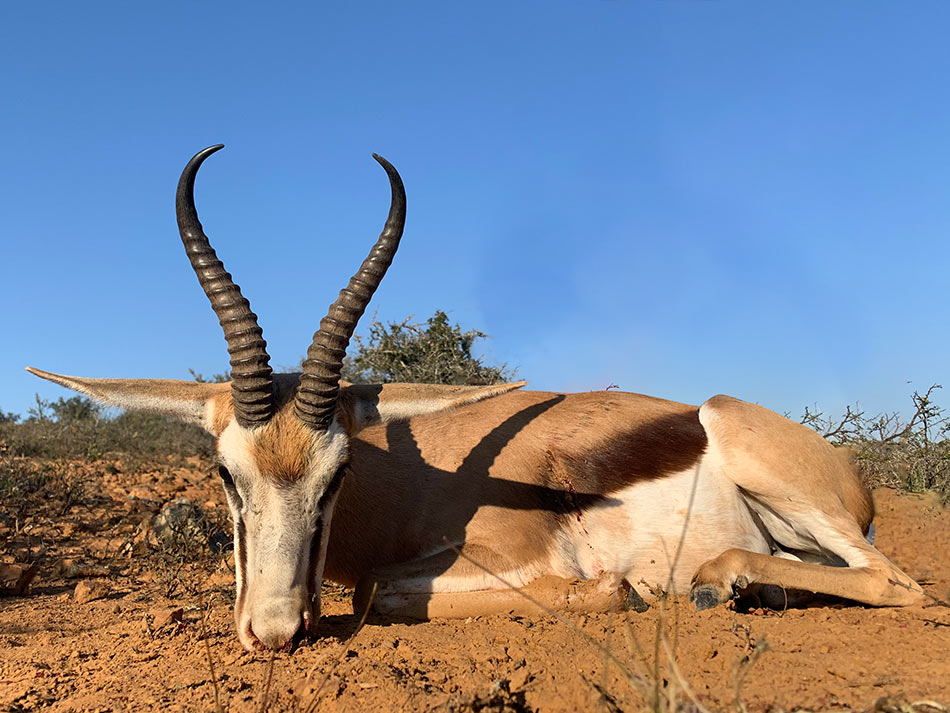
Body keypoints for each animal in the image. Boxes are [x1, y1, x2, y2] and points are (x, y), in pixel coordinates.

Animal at [29, 145, 924, 652]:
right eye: (224, 473)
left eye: (338, 474)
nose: (276, 631)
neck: (414, 481)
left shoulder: (516, 555)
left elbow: (377, 590)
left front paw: (618, 590)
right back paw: (740, 585)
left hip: (762, 458)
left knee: (901, 586)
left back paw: (717, 580)